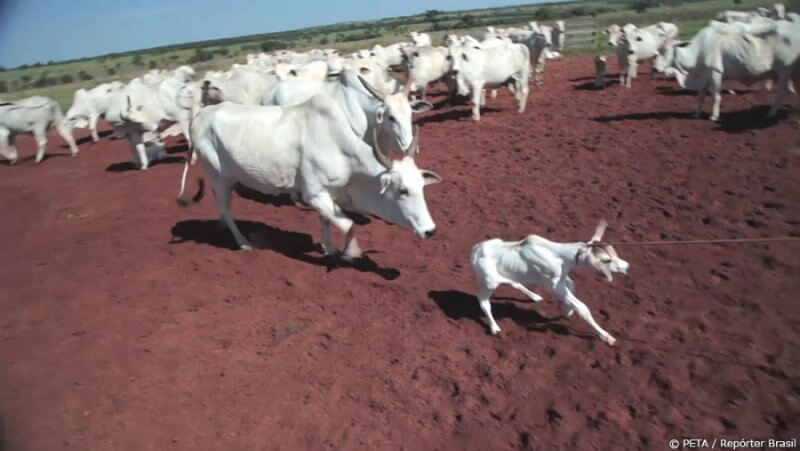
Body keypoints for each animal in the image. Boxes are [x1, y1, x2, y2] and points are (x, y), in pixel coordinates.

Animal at [177, 95, 444, 258]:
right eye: (402, 191)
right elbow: (348, 224)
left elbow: (326, 219)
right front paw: (350, 253)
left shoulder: (330, 194)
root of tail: (199, 116)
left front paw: (329, 248)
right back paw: (244, 242)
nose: (430, 230)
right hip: (218, 177)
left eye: (422, 187)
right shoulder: (313, 194)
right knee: (226, 210)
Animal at [468, 222, 632, 346]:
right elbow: (582, 307)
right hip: (489, 282)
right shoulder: (553, 286)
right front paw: (606, 336)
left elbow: (572, 286)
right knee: (483, 301)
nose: (626, 266)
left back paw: (534, 296)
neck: (560, 257)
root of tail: (475, 249)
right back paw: (494, 327)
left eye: (614, 253)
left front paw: (567, 310)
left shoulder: (562, 279)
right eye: (606, 260)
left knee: (515, 284)